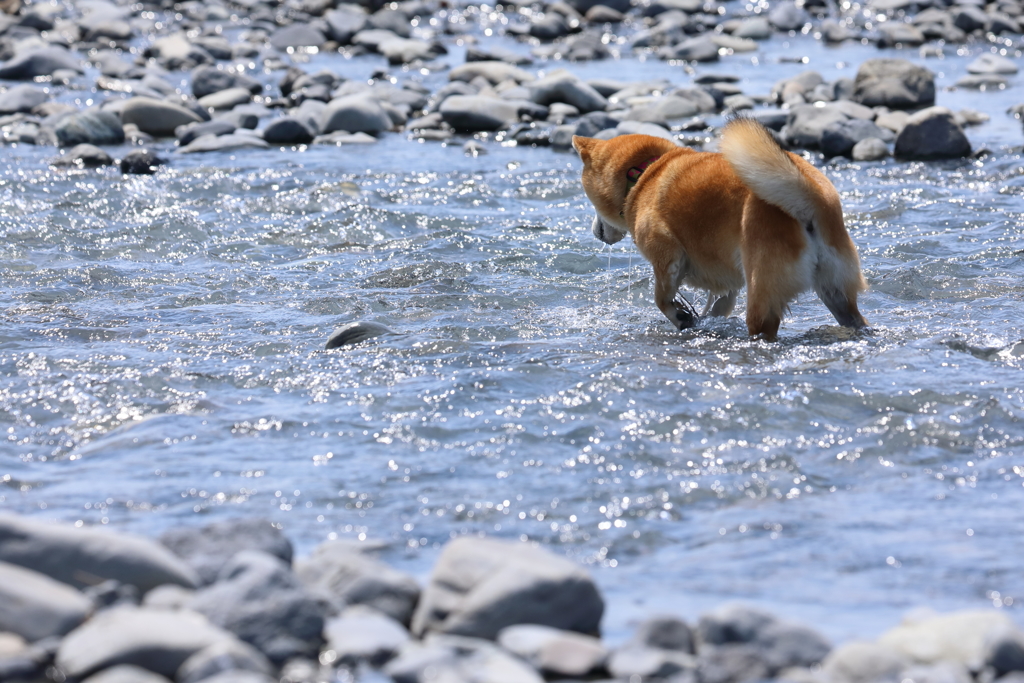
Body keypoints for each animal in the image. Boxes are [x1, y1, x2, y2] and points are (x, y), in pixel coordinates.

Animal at [573, 119, 868, 342]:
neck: (645, 174)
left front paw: (682, 318)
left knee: (763, 328)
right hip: (836, 289)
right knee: (854, 318)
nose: (594, 231)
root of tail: (809, 199)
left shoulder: (667, 258)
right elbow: (717, 306)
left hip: (763, 291)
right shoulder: (726, 282)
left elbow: (662, 299)